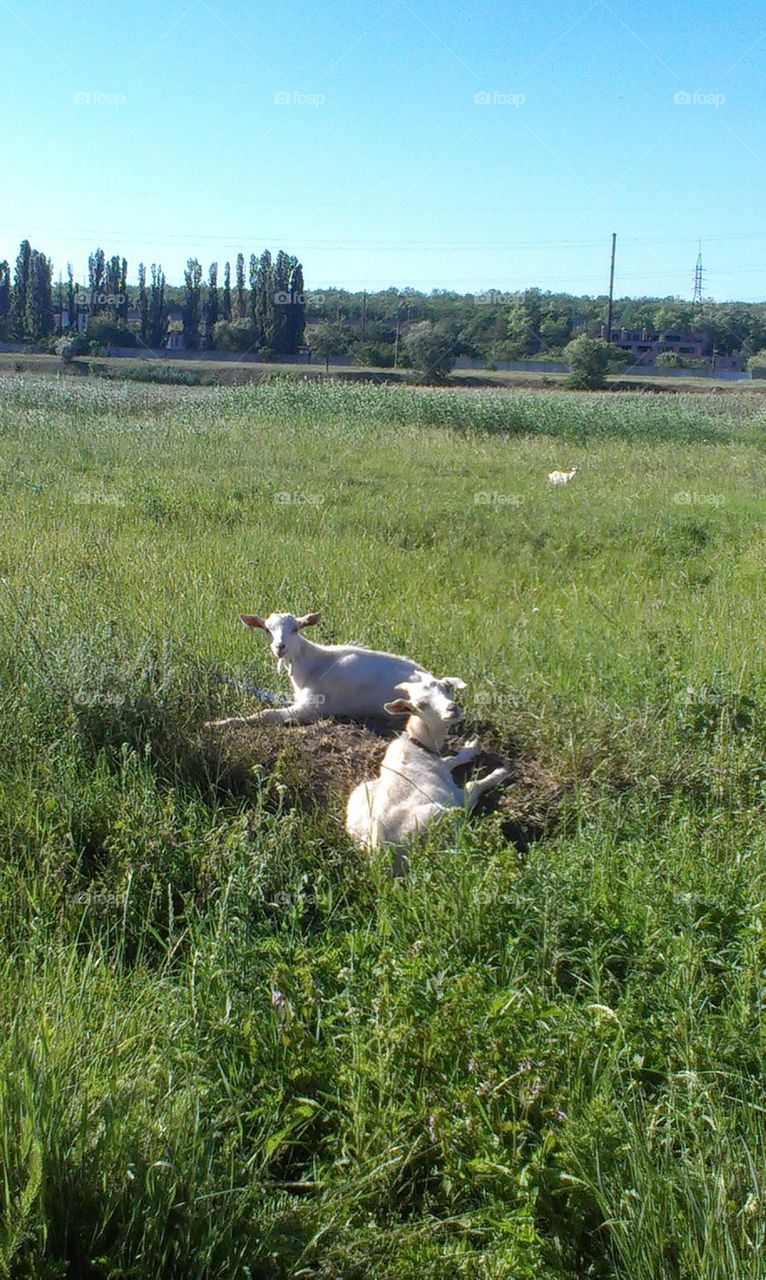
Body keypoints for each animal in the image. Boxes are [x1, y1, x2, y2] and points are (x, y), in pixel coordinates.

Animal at [203, 611, 432, 732]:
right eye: (267, 629)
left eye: (296, 628)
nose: (280, 647)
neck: (312, 666)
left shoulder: (312, 707)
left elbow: (267, 713)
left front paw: (219, 722)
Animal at [348, 670, 509, 870]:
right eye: (420, 705)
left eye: (447, 687)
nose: (452, 708)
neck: (418, 744)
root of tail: (378, 854)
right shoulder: (457, 796)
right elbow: (473, 784)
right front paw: (500, 773)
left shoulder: (441, 764)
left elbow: (451, 759)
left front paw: (472, 747)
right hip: (440, 815)